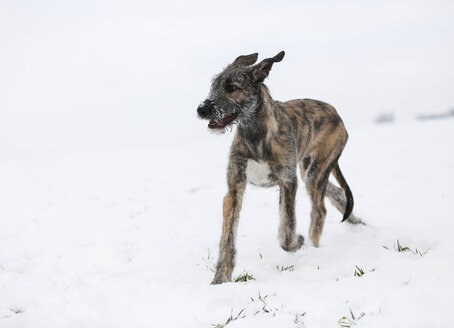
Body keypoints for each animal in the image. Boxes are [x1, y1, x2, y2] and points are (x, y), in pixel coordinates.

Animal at [197, 51, 360, 284]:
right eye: (214, 85)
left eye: (232, 87)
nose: (201, 110)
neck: (254, 133)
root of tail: (335, 112)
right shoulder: (235, 187)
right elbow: (227, 237)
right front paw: (220, 278)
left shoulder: (288, 182)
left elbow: (287, 228)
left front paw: (296, 242)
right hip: (309, 170)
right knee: (336, 192)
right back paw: (357, 221)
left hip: (315, 172)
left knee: (319, 211)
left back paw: (312, 247)